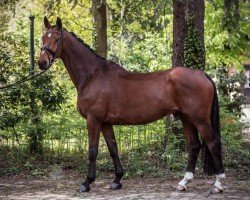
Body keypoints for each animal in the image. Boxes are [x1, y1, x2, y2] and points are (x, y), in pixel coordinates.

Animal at [38, 17, 226, 194]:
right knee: (194, 145)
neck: (93, 76)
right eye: (43, 38)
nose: (42, 63)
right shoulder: (105, 123)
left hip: (200, 119)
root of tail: (203, 74)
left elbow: (92, 151)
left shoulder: (93, 120)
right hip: (186, 118)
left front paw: (86, 183)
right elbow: (113, 148)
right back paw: (183, 183)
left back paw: (217, 185)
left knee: (213, 143)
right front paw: (117, 180)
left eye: (56, 38)